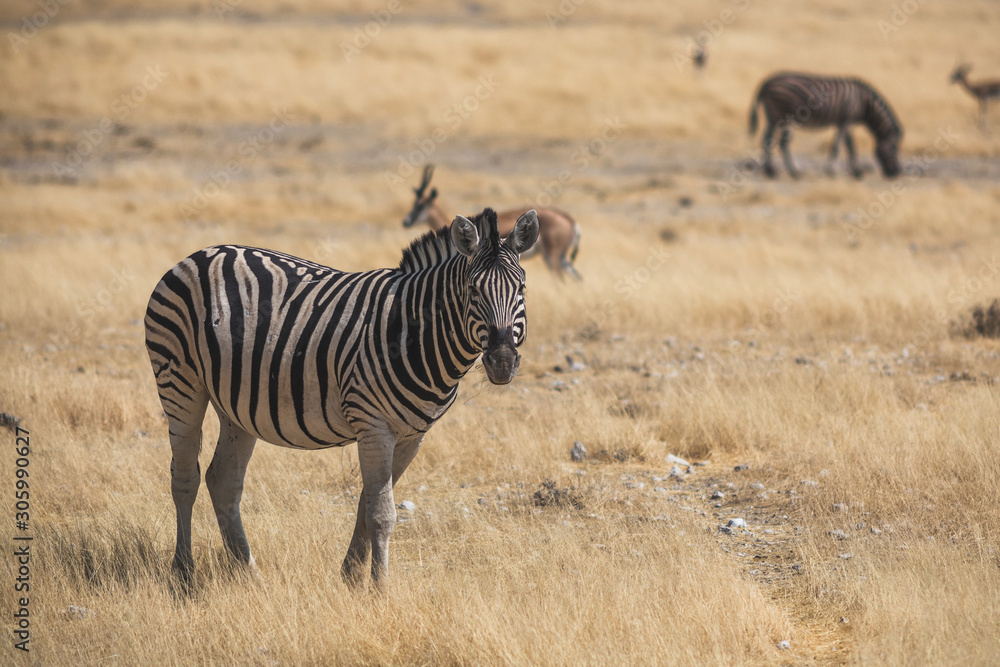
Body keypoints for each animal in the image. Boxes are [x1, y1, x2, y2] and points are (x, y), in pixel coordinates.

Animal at [144, 207, 539, 591]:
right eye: (473, 290)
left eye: (521, 288)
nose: (503, 362)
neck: (415, 330)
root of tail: (200, 254)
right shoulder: (374, 426)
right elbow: (382, 514)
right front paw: (380, 590)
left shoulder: (411, 436)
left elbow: (367, 504)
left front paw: (351, 576)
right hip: (180, 383)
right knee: (185, 478)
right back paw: (184, 575)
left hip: (237, 406)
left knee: (222, 480)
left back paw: (251, 575)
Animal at [748, 72, 903, 179]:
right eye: (894, 148)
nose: (896, 173)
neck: (865, 103)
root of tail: (766, 83)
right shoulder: (846, 120)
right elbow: (841, 146)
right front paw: (833, 171)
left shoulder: (844, 122)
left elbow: (848, 145)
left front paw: (855, 171)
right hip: (784, 116)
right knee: (782, 142)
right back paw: (794, 172)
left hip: (773, 117)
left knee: (767, 138)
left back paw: (770, 171)